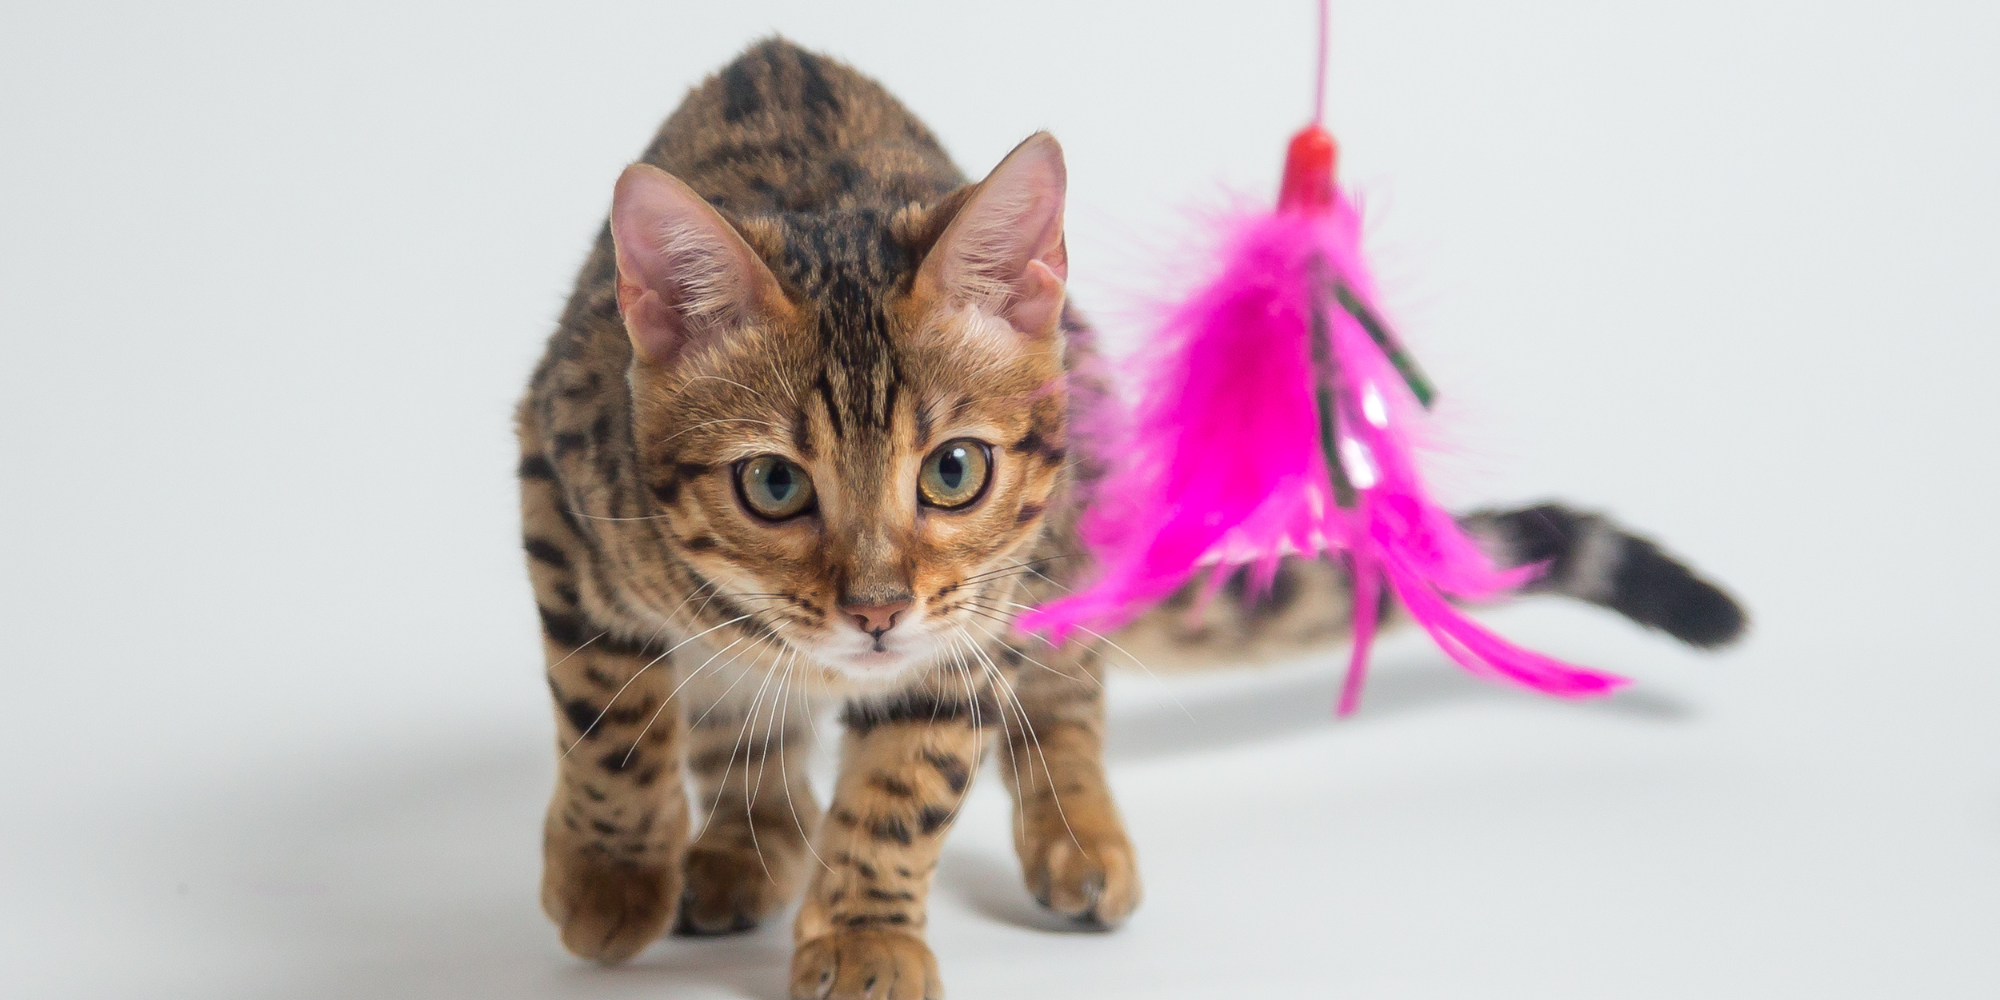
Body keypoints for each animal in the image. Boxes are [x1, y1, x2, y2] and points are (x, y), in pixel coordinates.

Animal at [520, 35, 1752, 996]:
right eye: (773, 486)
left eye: (953, 471)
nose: (873, 610)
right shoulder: (558, 495)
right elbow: (610, 716)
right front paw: (613, 872)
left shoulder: (974, 609)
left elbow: (909, 779)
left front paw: (867, 929)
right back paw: (743, 838)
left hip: (1064, 532)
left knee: (1063, 694)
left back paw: (1072, 833)